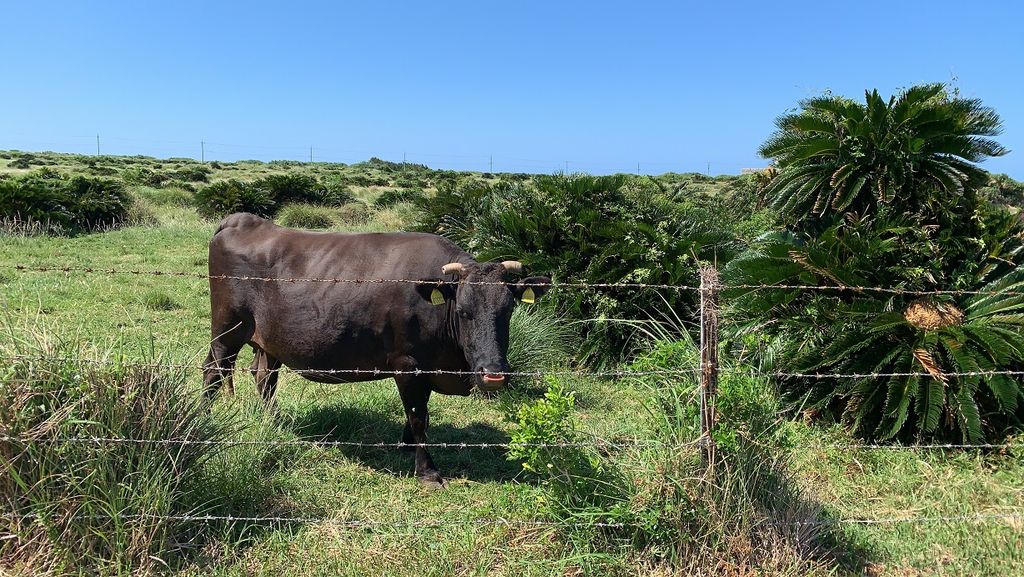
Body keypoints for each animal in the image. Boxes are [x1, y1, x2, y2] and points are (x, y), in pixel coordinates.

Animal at [201, 213, 552, 487]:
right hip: (227, 330)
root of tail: (243, 220)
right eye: (464, 311)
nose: (494, 375)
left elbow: (421, 413)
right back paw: (206, 423)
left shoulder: (425, 367)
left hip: (269, 340)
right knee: (213, 371)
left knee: (263, 376)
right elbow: (418, 416)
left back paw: (274, 419)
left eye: (508, 310)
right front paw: (427, 471)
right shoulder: (408, 364)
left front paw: (407, 446)